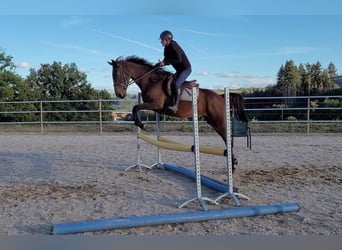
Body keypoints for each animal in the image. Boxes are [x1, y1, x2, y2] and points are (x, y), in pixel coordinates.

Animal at [109, 55, 248, 170]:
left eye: (117, 73)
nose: (120, 95)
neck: (150, 81)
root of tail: (221, 96)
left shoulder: (156, 105)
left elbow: (135, 107)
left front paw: (142, 125)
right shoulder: (155, 107)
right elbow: (136, 108)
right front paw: (141, 124)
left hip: (218, 120)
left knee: (227, 138)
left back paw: (233, 164)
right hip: (211, 121)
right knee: (226, 138)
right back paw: (232, 162)